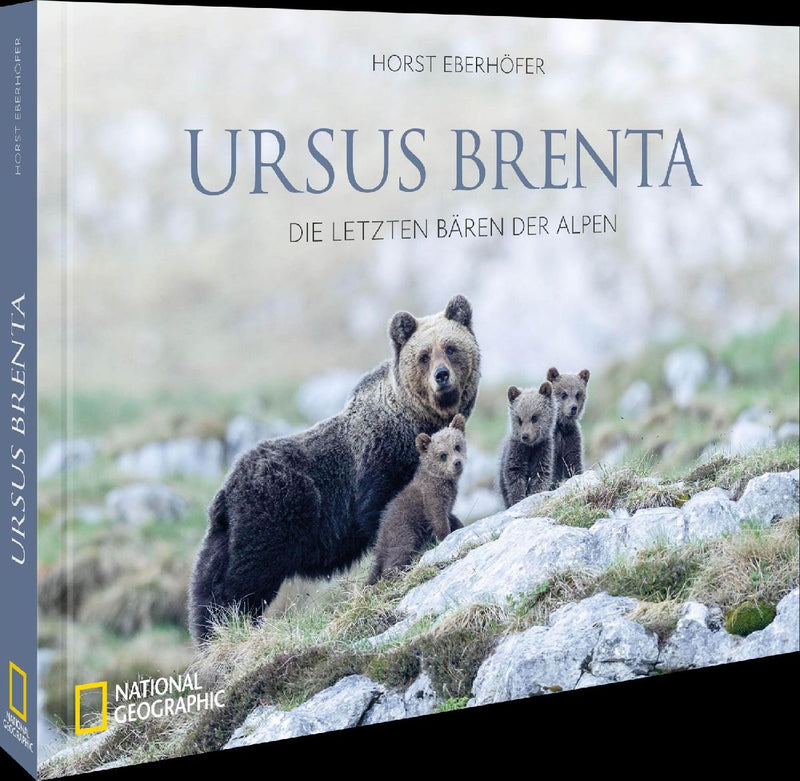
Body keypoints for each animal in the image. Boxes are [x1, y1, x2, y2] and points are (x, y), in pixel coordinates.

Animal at [367, 414, 467, 584]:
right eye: (442, 455)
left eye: (457, 446)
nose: (457, 463)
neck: (442, 481)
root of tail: (379, 541)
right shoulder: (432, 497)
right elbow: (438, 519)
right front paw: (445, 536)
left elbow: (451, 516)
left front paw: (458, 525)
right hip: (403, 532)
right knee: (396, 557)